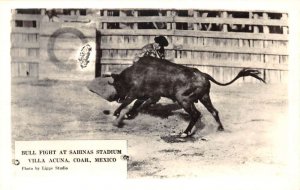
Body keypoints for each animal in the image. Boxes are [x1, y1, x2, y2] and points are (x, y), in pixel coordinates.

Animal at [89, 55, 264, 137]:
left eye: (118, 85)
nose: (116, 97)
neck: (135, 73)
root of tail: (204, 75)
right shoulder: (150, 96)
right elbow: (138, 104)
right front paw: (128, 115)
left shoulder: (135, 93)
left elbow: (127, 103)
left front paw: (117, 114)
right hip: (204, 97)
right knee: (214, 111)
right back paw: (219, 128)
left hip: (184, 99)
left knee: (196, 114)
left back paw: (185, 133)